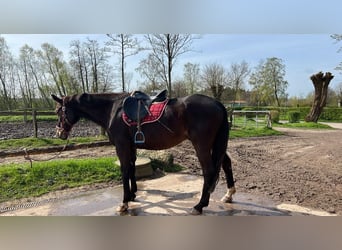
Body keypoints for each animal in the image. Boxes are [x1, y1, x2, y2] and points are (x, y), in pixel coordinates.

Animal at [52, 93, 236, 214]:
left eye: (59, 111)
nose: (59, 133)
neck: (112, 110)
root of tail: (218, 103)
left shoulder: (122, 146)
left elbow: (125, 170)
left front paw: (124, 203)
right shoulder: (131, 146)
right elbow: (132, 167)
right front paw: (133, 194)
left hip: (202, 145)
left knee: (209, 171)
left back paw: (199, 205)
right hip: (216, 144)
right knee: (226, 163)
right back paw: (228, 195)